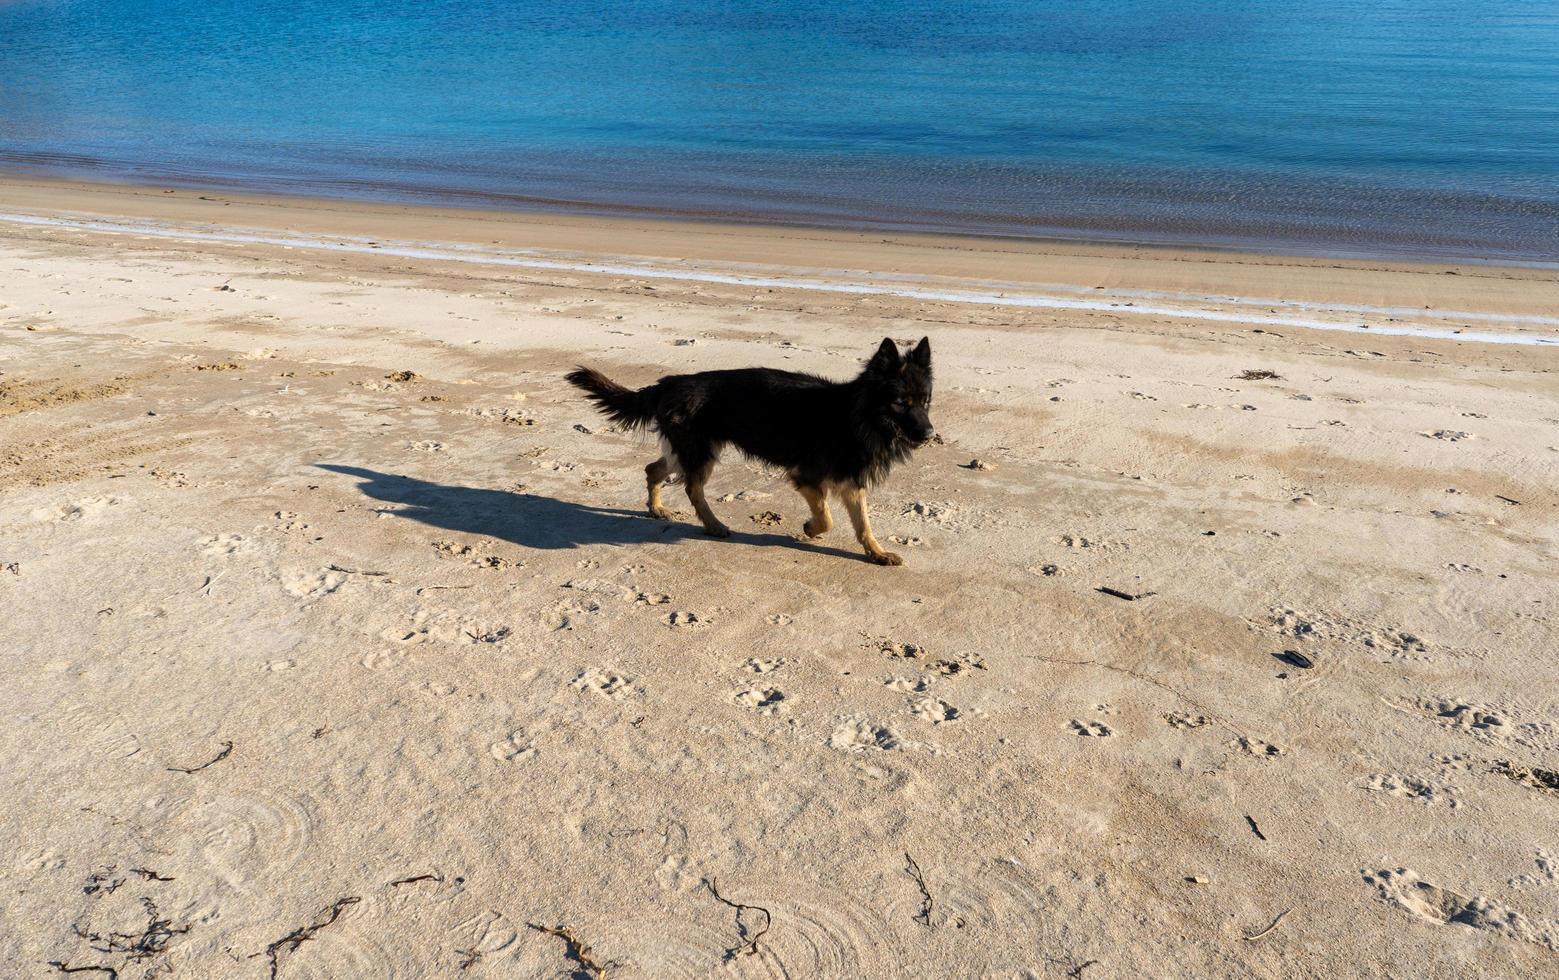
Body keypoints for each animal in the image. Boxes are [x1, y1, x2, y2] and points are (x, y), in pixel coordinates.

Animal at [567, 338, 929, 560]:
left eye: (924, 402)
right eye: (900, 402)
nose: (929, 433)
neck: (855, 415)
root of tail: (668, 382)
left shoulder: (851, 482)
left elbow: (863, 523)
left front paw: (876, 553)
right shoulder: (807, 477)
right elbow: (826, 517)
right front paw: (810, 528)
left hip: (688, 450)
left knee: (654, 469)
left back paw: (656, 508)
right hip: (701, 452)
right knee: (692, 488)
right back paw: (713, 525)